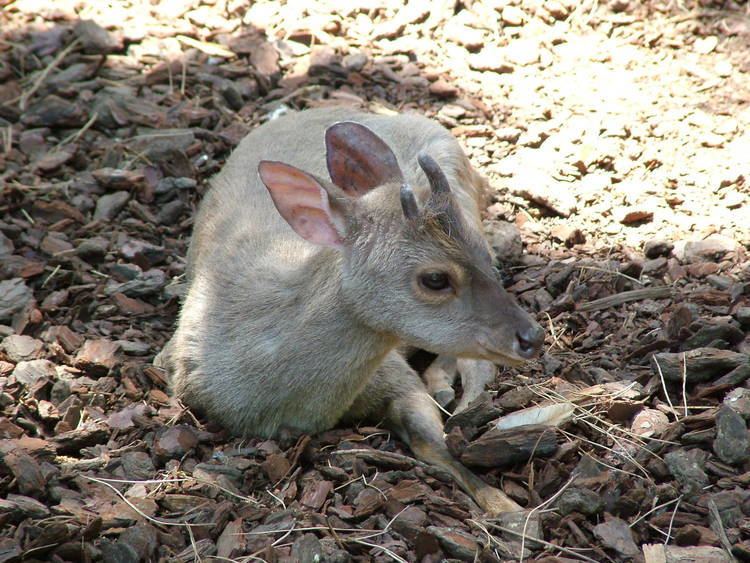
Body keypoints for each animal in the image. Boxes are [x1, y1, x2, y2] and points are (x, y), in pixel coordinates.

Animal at [159, 107, 548, 516]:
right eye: (435, 279)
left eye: (483, 257)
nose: (532, 337)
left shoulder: (390, 369)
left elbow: (434, 441)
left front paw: (510, 509)